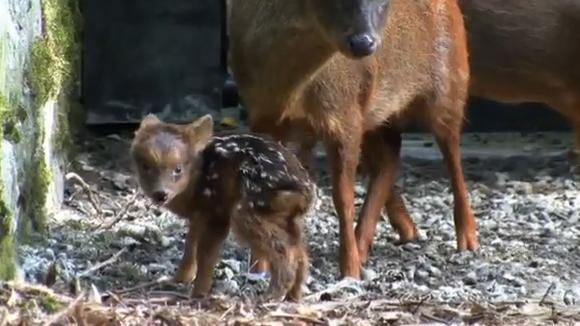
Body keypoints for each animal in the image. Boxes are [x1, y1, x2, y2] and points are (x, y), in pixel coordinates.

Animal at [229, 0, 478, 278]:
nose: (364, 43)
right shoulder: (261, 117)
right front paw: (258, 267)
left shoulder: (344, 116)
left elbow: (343, 198)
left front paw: (349, 270)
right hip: (376, 114)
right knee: (389, 159)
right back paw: (389, 237)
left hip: (450, 80)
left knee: (451, 152)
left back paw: (468, 239)